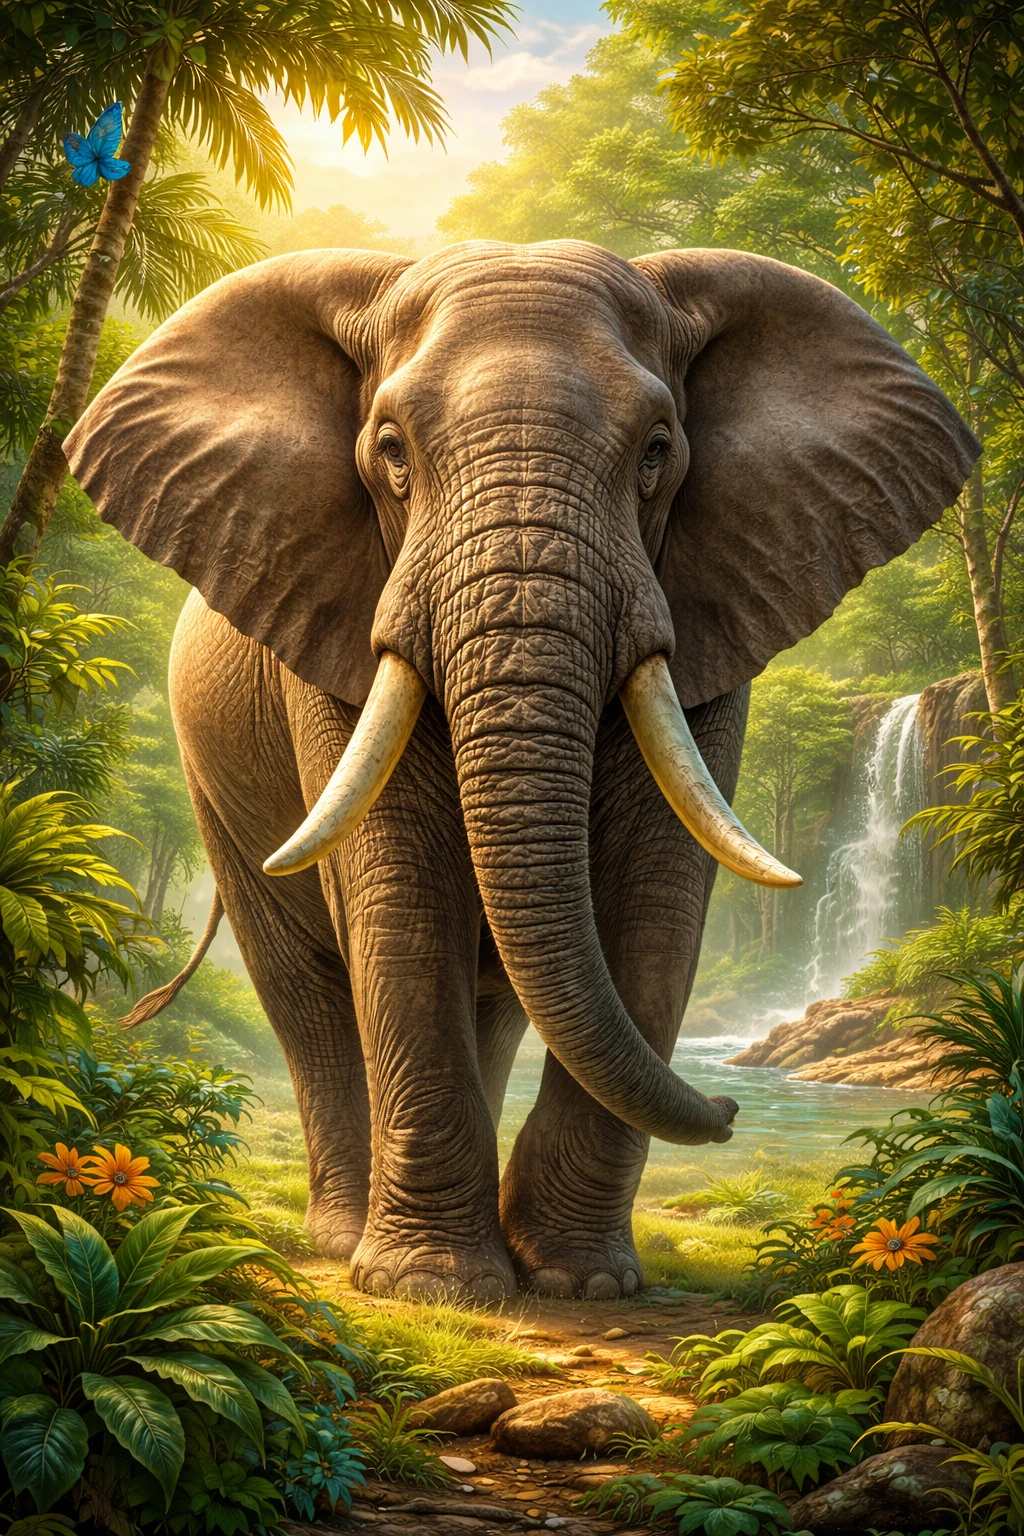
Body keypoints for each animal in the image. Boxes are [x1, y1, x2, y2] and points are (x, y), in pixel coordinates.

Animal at [65, 240, 978, 1303]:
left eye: (657, 450)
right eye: (391, 451)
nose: (730, 1110)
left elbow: (656, 899)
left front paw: (579, 1283)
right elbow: (403, 896)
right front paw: (432, 1287)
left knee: (496, 996)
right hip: (211, 775)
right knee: (304, 987)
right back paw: (343, 1239)